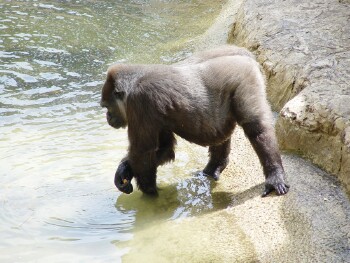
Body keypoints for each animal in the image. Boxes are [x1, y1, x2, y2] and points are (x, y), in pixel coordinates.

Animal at [100, 46, 290, 198]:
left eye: (107, 106)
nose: (108, 117)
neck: (134, 81)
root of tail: (248, 55)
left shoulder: (140, 102)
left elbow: (143, 152)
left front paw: (148, 190)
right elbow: (163, 150)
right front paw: (124, 170)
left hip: (246, 78)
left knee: (257, 128)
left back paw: (274, 175)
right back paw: (215, 167)